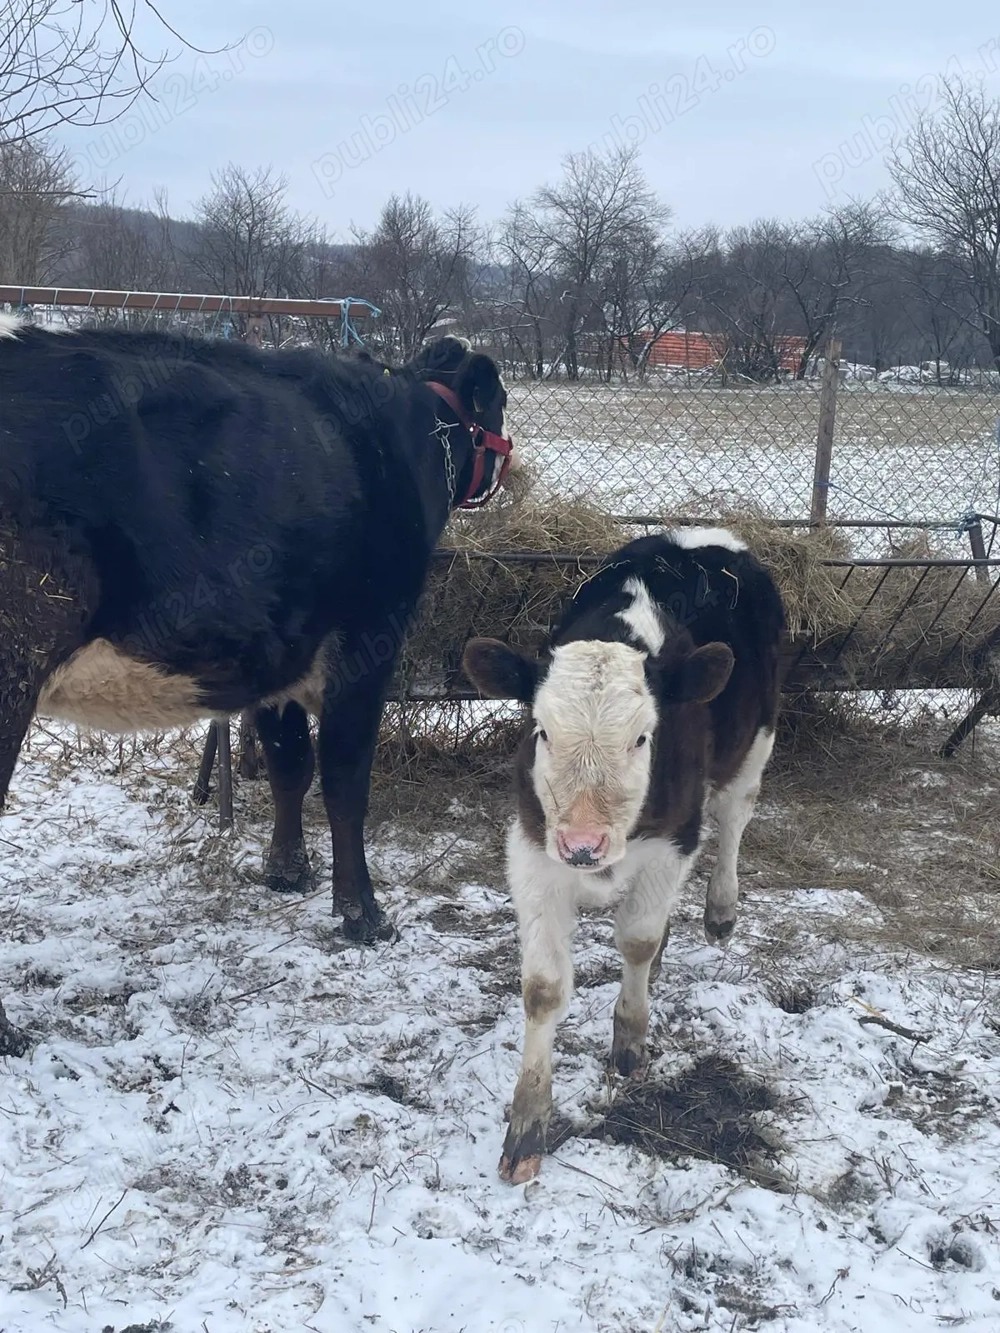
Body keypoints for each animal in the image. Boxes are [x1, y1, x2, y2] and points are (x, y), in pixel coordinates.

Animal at [0, 320, 514, 1056]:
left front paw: (286, 870)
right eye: (497, 404)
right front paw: (364, 914)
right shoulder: (367, 643)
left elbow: (288, 765)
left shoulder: (277, 655)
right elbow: (344, 781)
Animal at [462, 529, 786, 1183]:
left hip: (755, 742)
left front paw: (630, 1041)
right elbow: (543, 988)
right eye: (541, 730)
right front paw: (527, 1124)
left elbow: (635, 941)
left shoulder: (672, 841)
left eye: (642, 737)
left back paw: (721, 910)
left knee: (734, 817)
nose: (583, 845)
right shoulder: (534, 848)